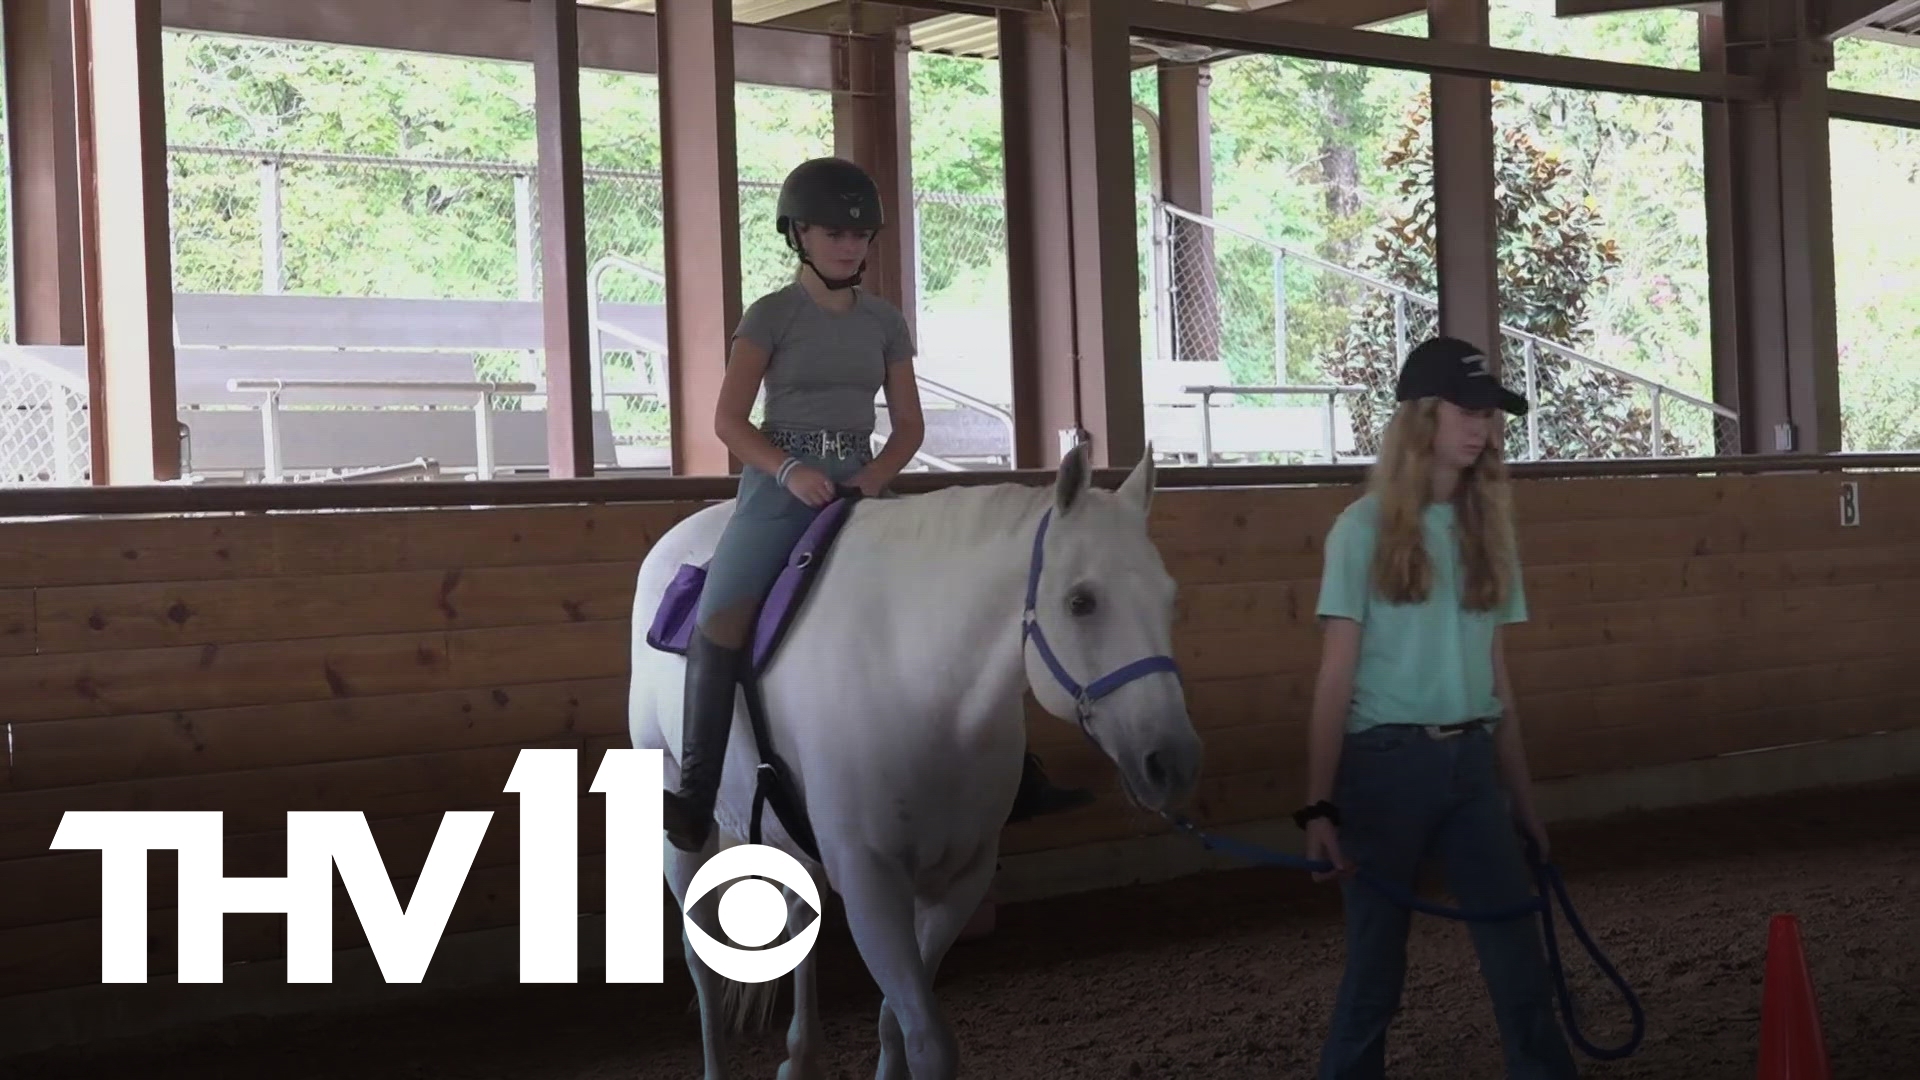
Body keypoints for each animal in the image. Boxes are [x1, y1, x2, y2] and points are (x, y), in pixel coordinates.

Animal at [629, 441, 1198, 1068]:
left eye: (1169, 599)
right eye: (1080, 602)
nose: (1172, 762)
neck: (920, 682)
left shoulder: (959, 881)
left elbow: (894, 1023)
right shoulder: (872, 884)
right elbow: (927, 1040)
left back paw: (801, 1055)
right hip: (680, 828)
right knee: (699, 955)